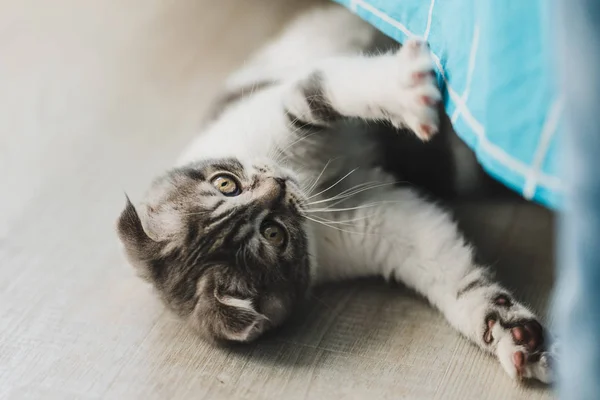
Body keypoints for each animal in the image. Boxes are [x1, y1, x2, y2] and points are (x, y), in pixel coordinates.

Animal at [116, 5, 552, 382]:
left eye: (226, 183)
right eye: (275, 233)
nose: (279, 184)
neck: (309, 184)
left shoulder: (283, 106)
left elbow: (326, 94)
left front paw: (406, 89)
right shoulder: (388, 225)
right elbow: (452, 274)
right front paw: (512, 338)